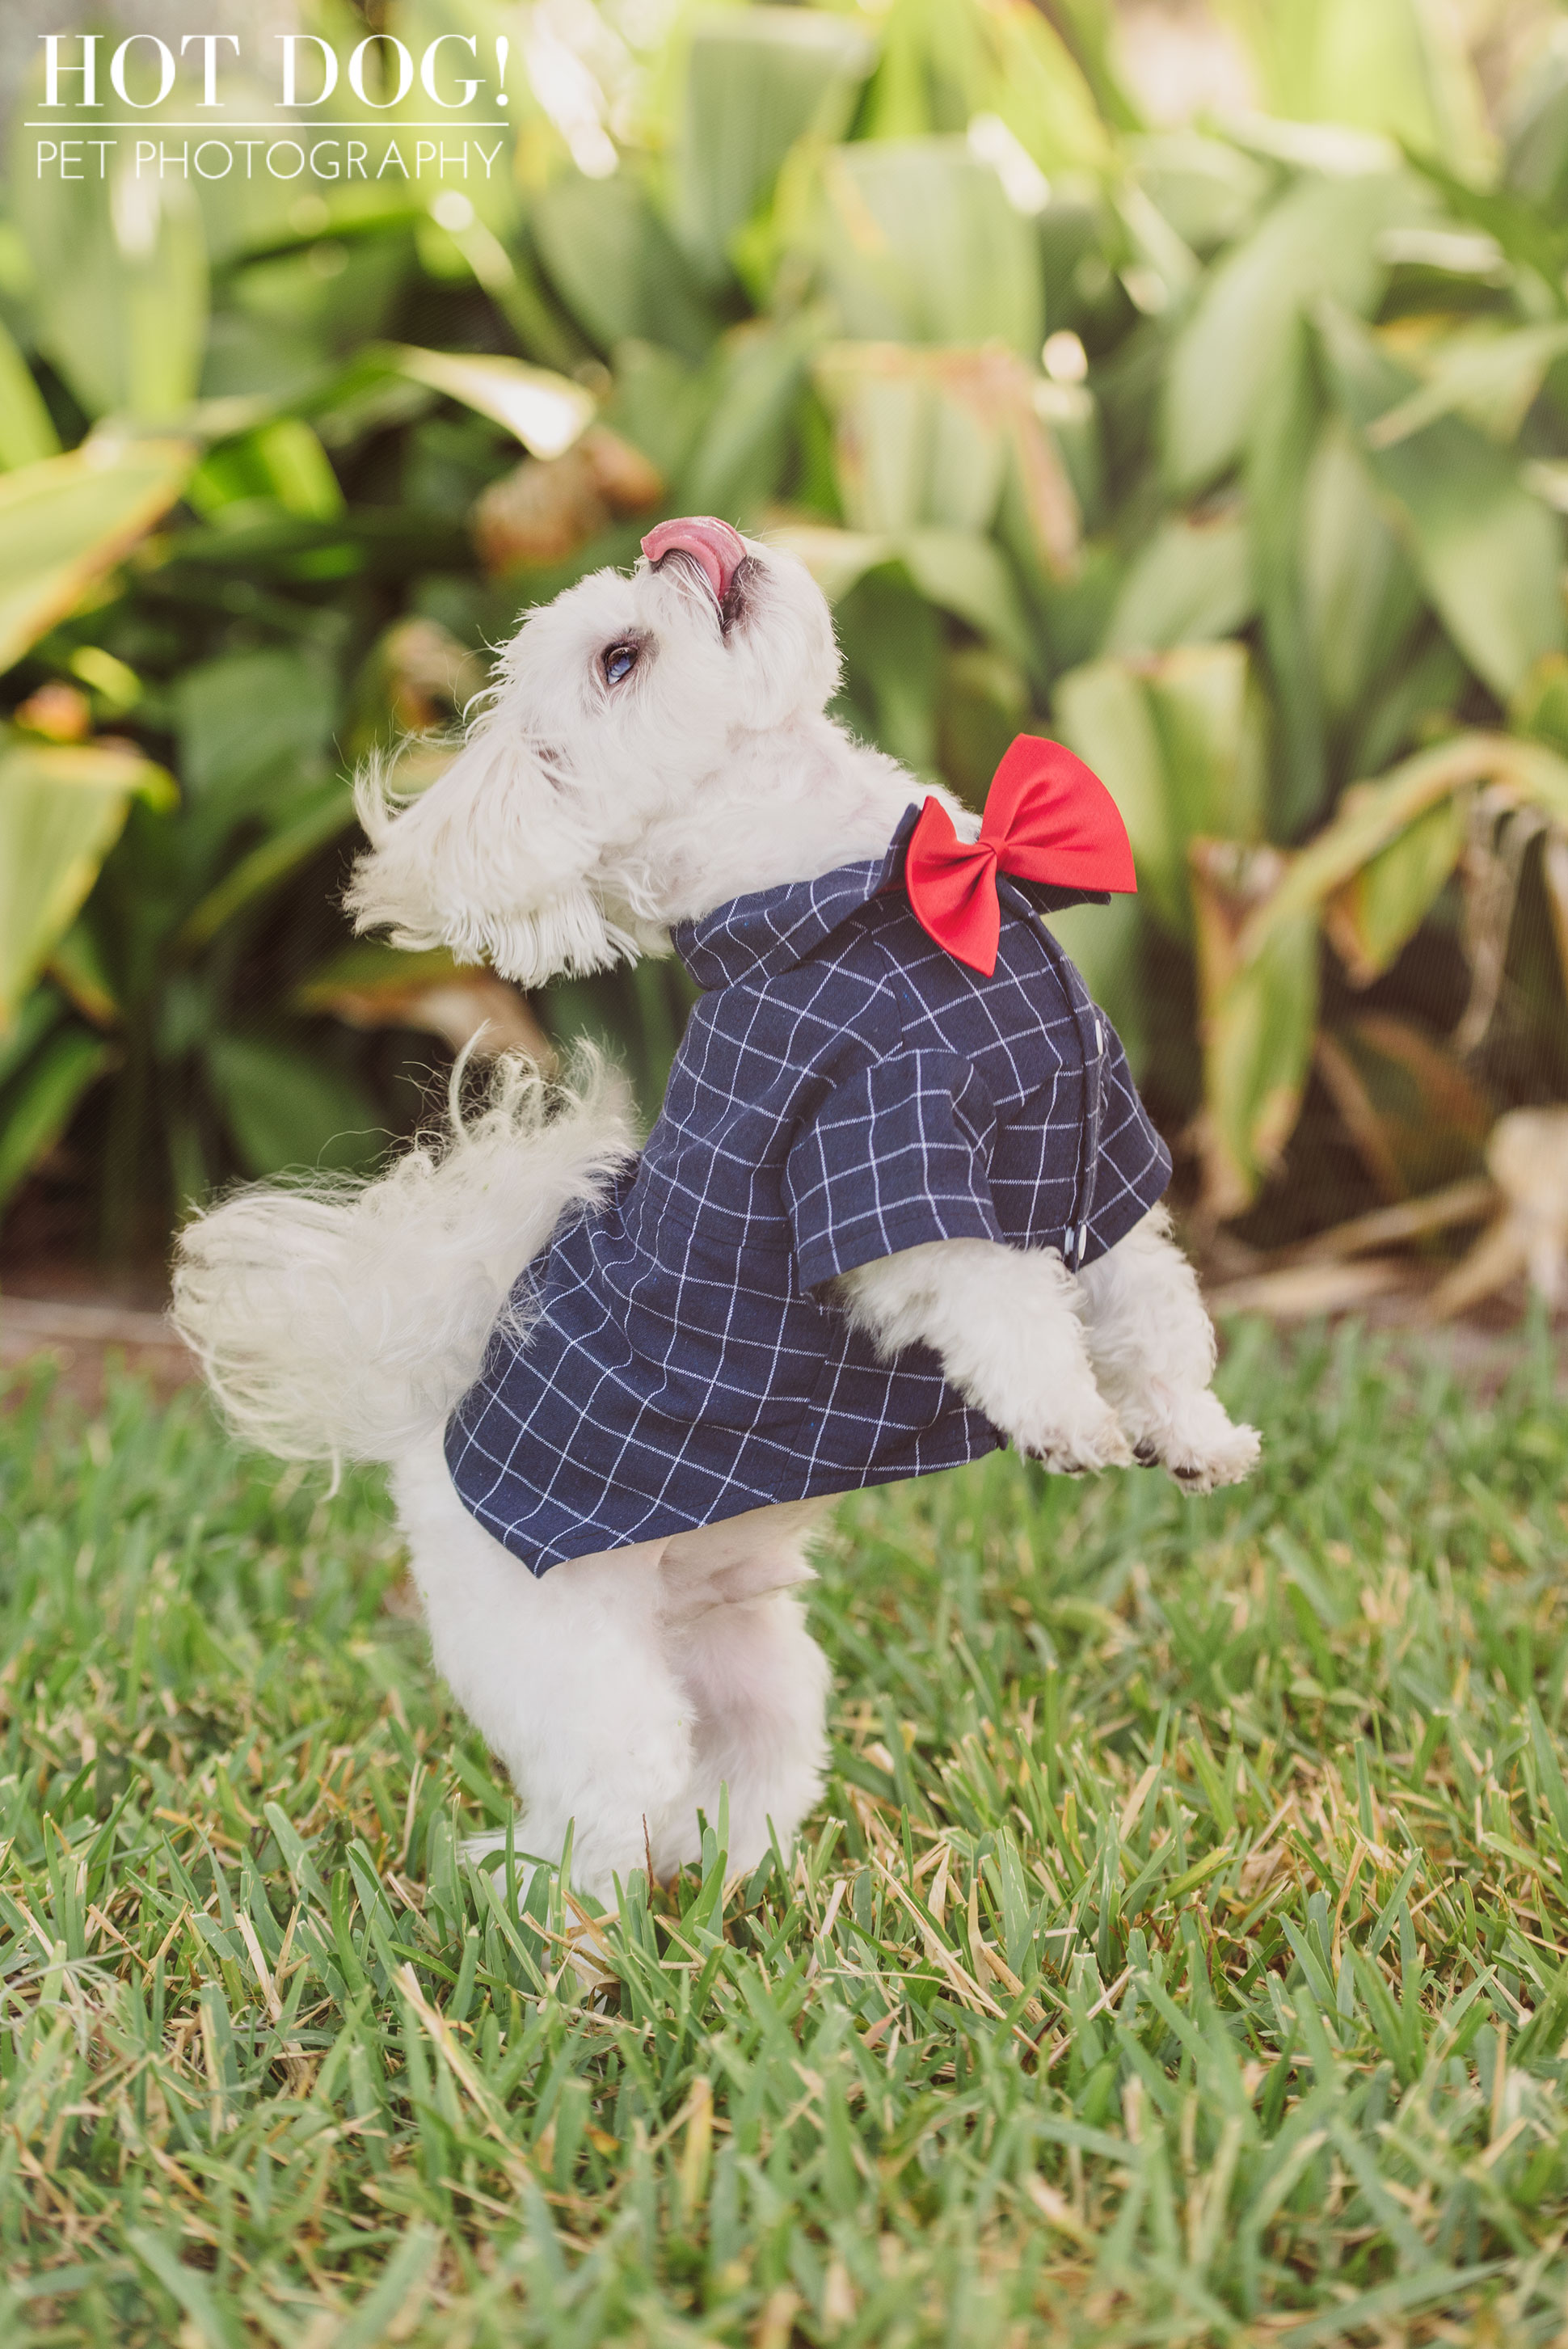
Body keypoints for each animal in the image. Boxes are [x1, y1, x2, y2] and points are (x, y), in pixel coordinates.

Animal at [171, 514, 1258, 1888]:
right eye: (620, 658)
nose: (679, 539)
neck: (885, 900)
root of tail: (431, 1433)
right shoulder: (883, 1168)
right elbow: (1006, 1306)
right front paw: (1069, 1420)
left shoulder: (1095, 1143)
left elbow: (1152, 1309)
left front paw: (1193, 1433)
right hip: (580, 1680)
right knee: (593, 1829)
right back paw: (570, 1928)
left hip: (754, 1665)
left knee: (742, 1781)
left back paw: (758, 1886)